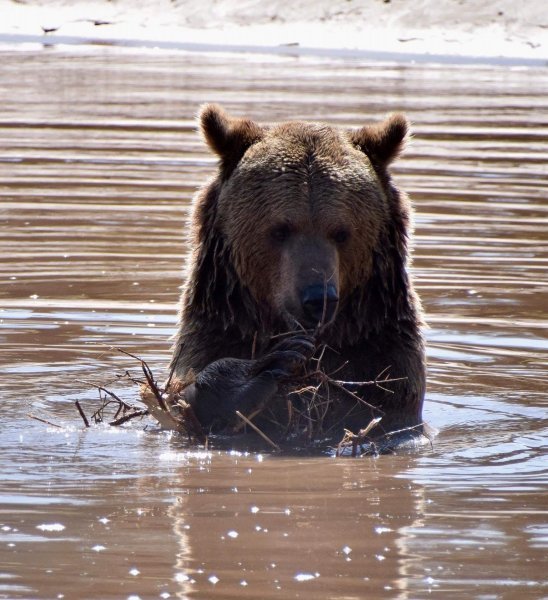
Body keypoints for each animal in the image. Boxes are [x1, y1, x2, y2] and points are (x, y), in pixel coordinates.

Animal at [169, 104, 426, 450]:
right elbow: (184, 396)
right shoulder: (218, 327)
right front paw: (259, 370)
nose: (318, 298)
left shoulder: (382, 350)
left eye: (342, 232)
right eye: (280, 230)